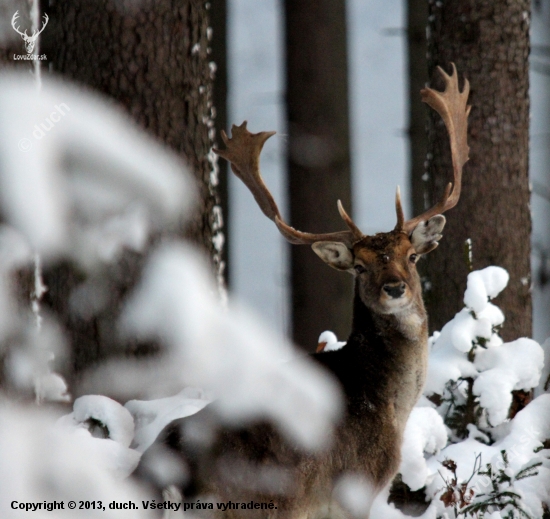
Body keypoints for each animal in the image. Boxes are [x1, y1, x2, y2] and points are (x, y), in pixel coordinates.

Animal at [154, 65, 470, 519]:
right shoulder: (354, 489)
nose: (394, 288)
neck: (392, 405)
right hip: (255, 505)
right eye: (359, 266)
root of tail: (172, 467)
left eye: (411, 256)